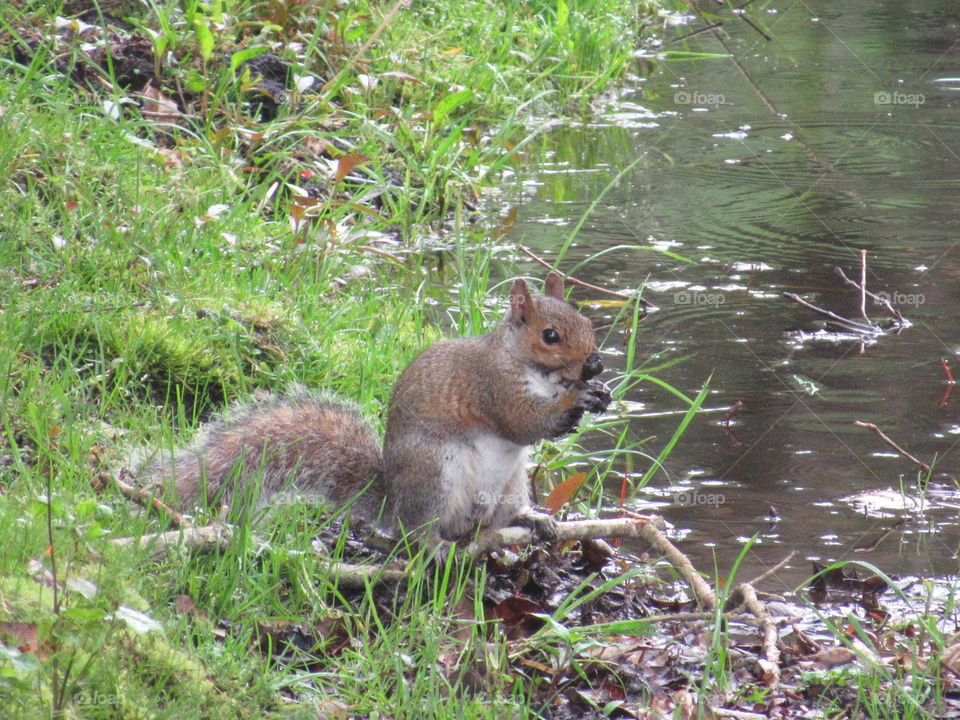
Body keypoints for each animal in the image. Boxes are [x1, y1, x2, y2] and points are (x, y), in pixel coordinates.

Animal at [138, 272, 612, 542]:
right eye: (551, 336)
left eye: (587, 322)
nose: (595, 363)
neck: (537, 371)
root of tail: (393, 505)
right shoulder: (491, 386)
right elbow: (523, 421)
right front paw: (577, 399)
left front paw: (599, 393)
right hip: (436, 472)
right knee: (419, 530)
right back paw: (434, 544)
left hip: (511, 485)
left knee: (496, 522)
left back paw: (532, 520)